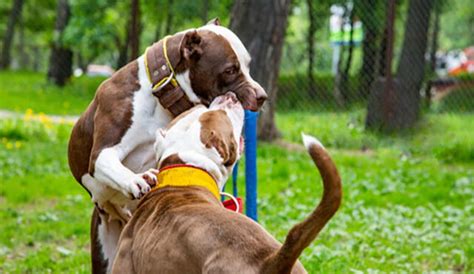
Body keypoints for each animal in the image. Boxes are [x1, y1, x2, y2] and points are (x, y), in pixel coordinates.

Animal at [67, 20, 266, 272]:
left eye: (248, 65)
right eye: (230, 69)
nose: (262, 96)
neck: (159, 96)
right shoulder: (101, 154)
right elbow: (111, 163)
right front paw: (136, 180)